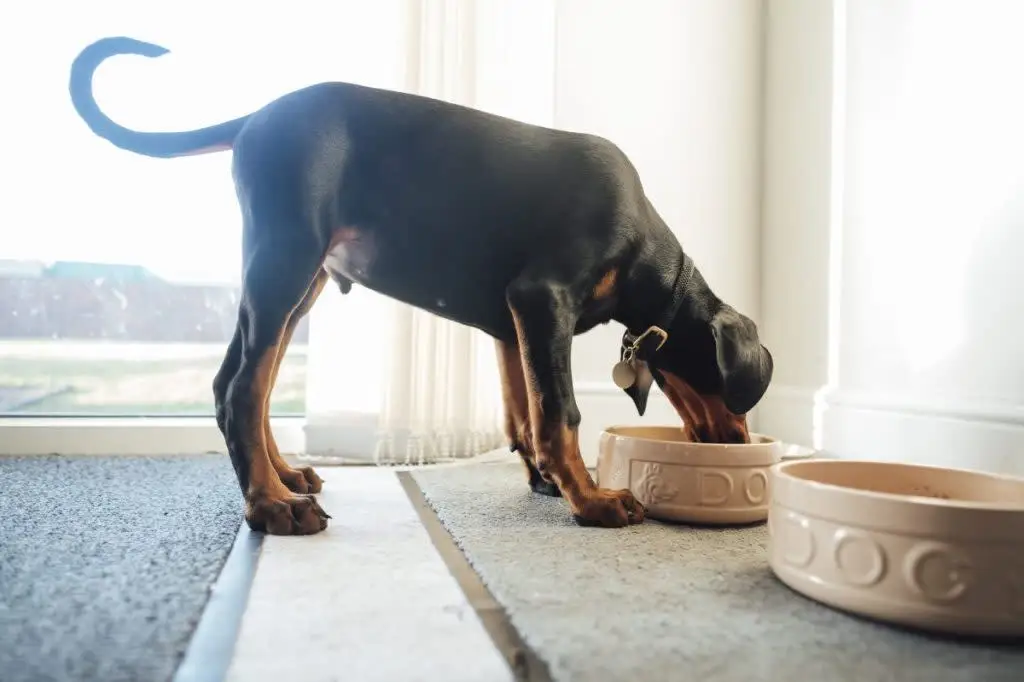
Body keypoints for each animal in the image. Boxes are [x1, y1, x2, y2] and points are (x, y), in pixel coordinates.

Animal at [72, 37, 770, 532]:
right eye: (736, 394)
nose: (742, 443)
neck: (642, 250)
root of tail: (256, 117)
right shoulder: (543, 300)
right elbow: (560, 410)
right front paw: (593, 500)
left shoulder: (512, 322)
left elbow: (524, 413)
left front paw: (547, 480)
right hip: (284, 259)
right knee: (242, 387)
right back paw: (272, 506)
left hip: (298, 282)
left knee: (243, 384)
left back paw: (286, 477)